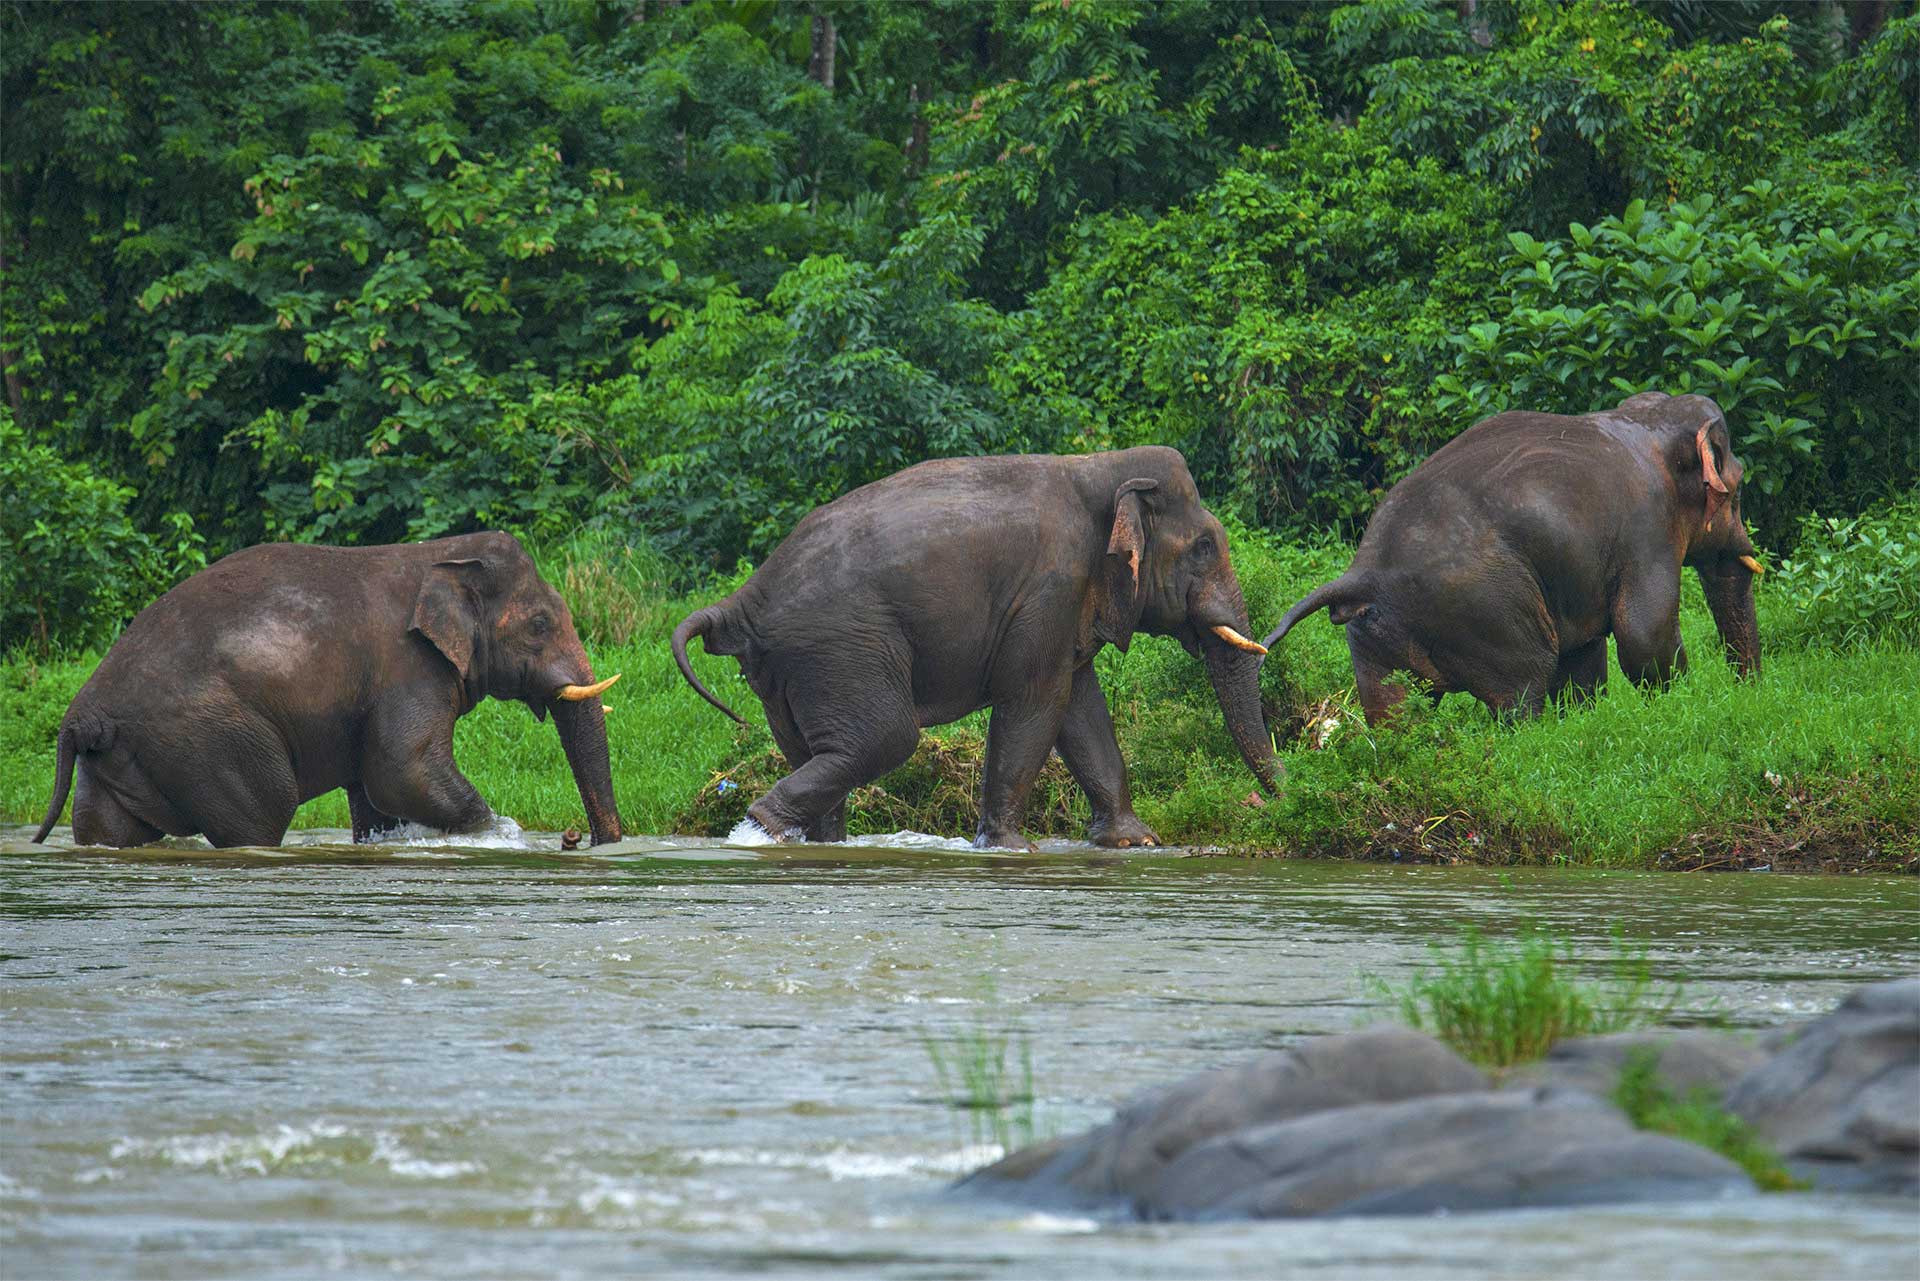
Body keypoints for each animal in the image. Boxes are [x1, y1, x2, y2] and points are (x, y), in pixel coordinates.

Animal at [31, 530, 622, 852]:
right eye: (540, 624)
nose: (576, 839)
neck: (439, 554)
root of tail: (81, 714)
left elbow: (376, 793)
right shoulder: (408, 667)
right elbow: (403, 770)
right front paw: (491, 833)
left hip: (124, 756)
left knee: (108, 829)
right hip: (207, 738)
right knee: (263, 814)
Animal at [668, 445, 1282, 856]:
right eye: (1204, 547)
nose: (1276, 801)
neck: (1095, 465)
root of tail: (743, 598)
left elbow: (1080, 707)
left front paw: (1135, 844)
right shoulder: (1051, 588)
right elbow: (1037, 700)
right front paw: (1012, 850)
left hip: (789, 674)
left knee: (815, 752)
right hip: (840, 648)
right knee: (886, 738)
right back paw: (761, 827)